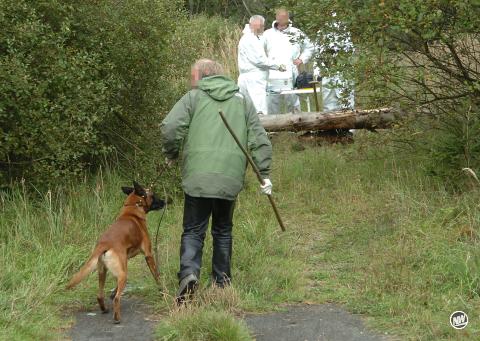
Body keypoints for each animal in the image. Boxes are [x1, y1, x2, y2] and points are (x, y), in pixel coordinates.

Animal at [66, 181, 166, 322]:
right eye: (153, 195)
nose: (165, 202)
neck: (132, 209)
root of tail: (104, 244)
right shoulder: (148, 255)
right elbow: (156, 275)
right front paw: (162, 291)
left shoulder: (125, 260)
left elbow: (115, 287)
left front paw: (112, 292)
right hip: (123, 274)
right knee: (117, 299)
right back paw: (117, 318)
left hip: (103, 272)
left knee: (100, 295)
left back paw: (104, 309)